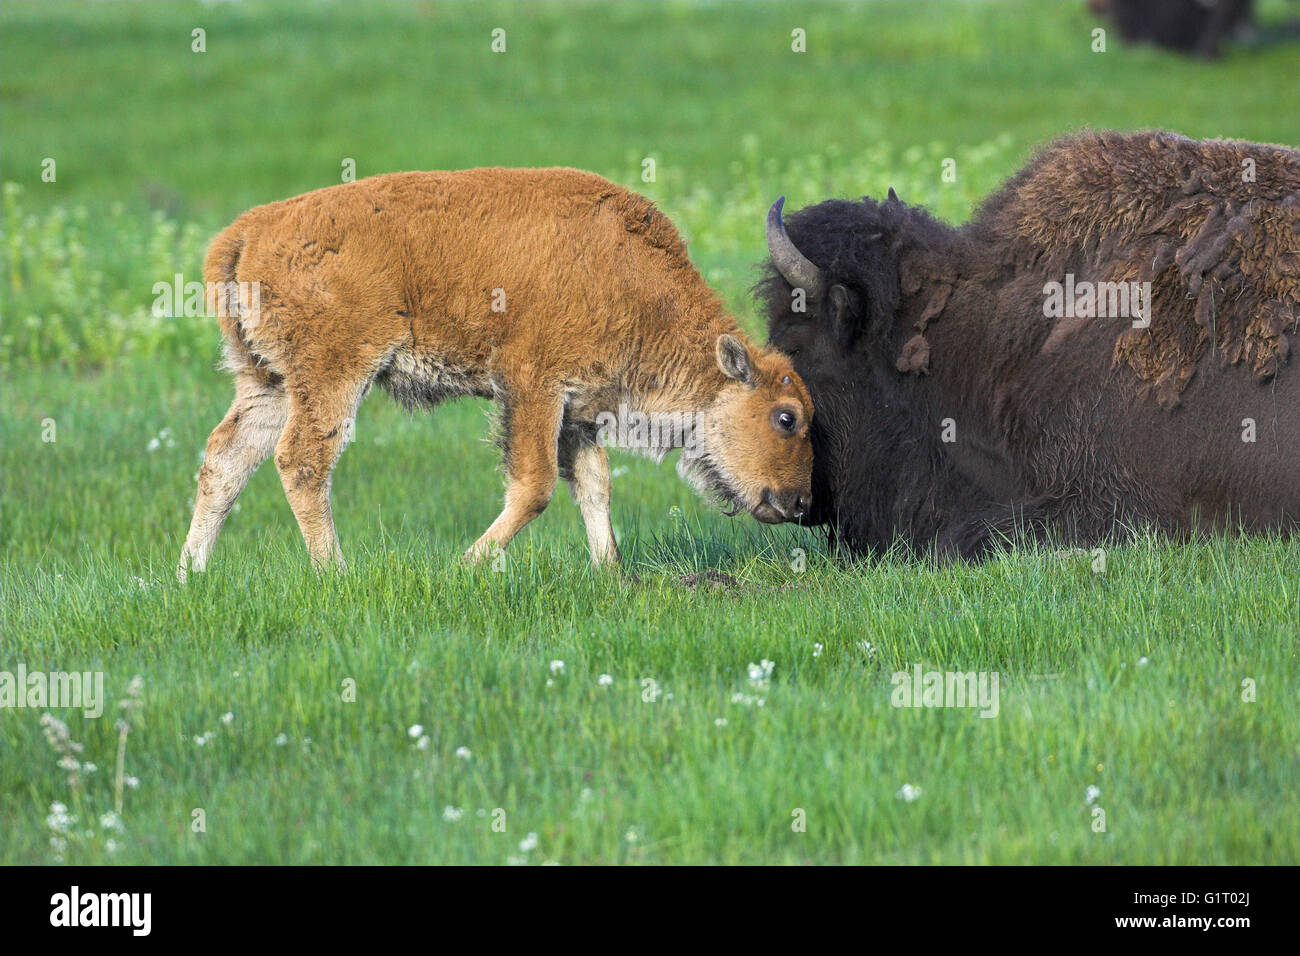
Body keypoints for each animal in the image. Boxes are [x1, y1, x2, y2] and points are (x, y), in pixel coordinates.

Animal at [180, 167, 811, 580]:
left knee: (227, 456)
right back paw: (336, 572)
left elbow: (594, 485)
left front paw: (611, 572)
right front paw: (466, 565)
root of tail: (250, 230)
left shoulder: (579, 411)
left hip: (268, 380)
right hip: (333, 373)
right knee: (304, 460)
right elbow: (535, 487)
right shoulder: (534, 388)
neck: (631, 278)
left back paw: (190, 574)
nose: (798, 503)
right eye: (787, 418)